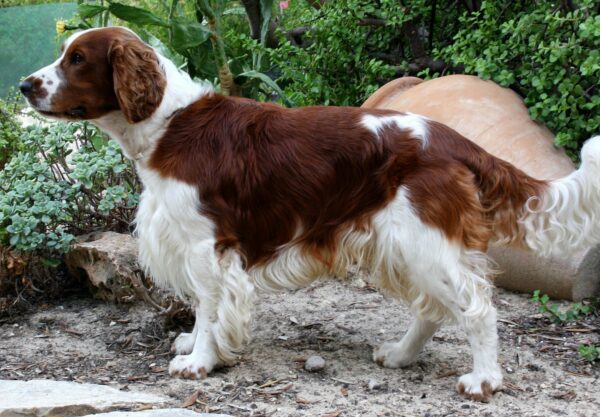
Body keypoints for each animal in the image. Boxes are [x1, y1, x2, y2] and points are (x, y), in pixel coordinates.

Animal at [21, 25, 600, 400]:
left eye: (77, 59)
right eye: (63, 54)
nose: (25, 85)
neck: (168, 123)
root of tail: (455, 140)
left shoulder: (208, 247)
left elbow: (209, 309)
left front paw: (199, 362)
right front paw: (199, 347)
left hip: (423, 240)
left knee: (475, 308)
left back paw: (483, 381)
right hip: (405, 244)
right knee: (435, 308)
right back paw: (400, 355)